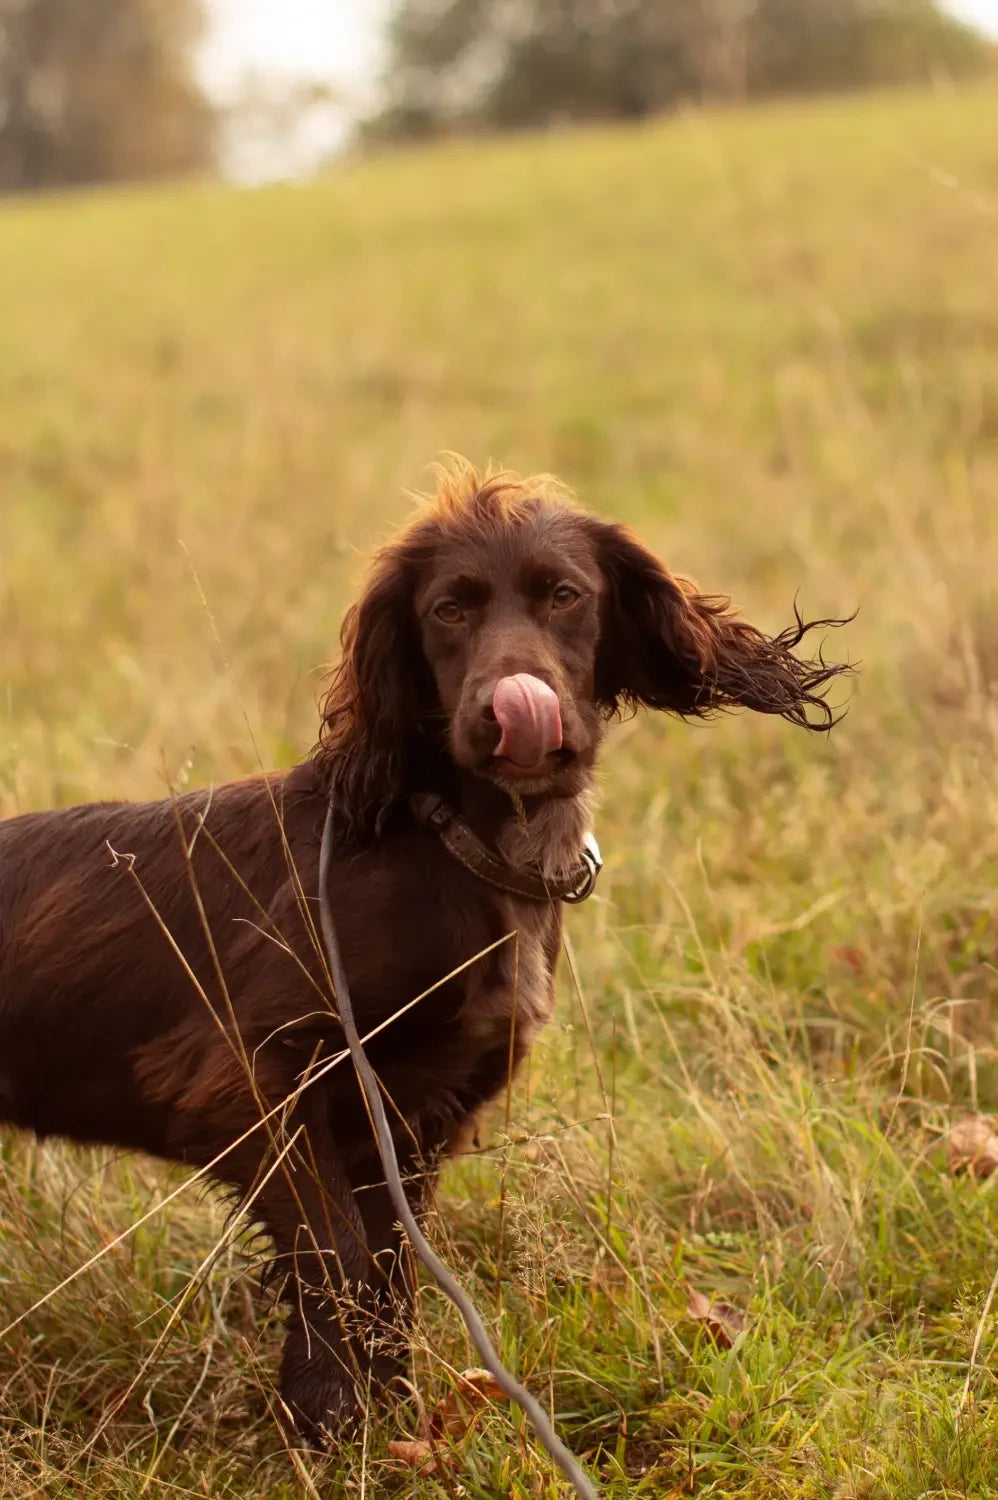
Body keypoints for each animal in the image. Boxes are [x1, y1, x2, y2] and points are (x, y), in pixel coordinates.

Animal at [0, 459, 846, 1440]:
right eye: (448, 610)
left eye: (566, 596)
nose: (509, 707)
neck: (463, 845)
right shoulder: (239, 1075)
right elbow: (338, 1254)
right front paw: (326, 1417)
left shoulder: (414, 1119)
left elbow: (391, 1270)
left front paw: (386, 1411)